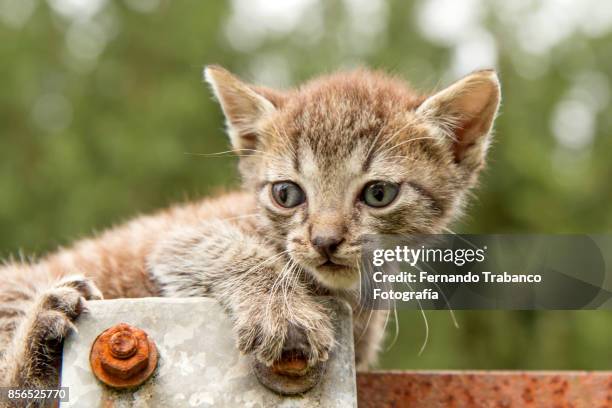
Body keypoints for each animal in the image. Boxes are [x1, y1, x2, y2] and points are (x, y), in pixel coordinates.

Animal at [0, 65, 500, 390]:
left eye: (378, 194)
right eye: (287, 194)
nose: (324, 241)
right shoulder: (178, 235)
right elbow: (230, 251)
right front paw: (281, 308)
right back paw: (40, 338)